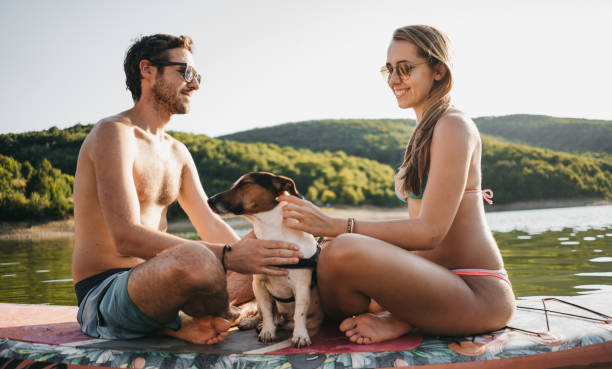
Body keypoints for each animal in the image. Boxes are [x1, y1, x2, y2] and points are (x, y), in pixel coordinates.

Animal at [208, 171, 326, 346]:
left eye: (245, 184)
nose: (209, 200)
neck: (271, 232)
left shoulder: (301, 287)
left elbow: (299, 313)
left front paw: (300, 335)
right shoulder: (259, 285)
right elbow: (267, 311)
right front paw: (267, 331)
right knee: (262, 313)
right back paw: (253, 323)